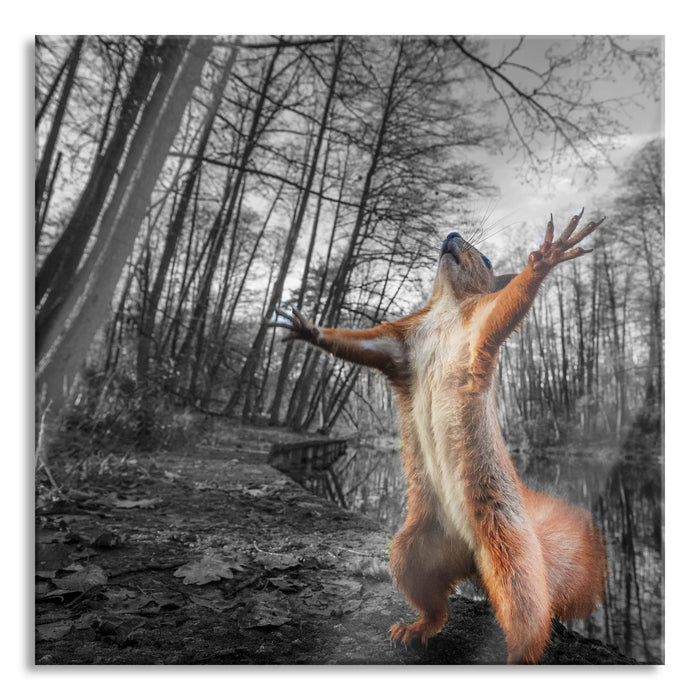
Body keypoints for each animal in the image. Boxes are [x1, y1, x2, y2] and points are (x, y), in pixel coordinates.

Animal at [271, 209, 608, 664]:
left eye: (485, 259)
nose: (451, 235)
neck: (447, 307)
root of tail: (472, 560)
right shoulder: (399, 345)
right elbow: (358, 345)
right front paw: (309, 329)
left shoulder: (482, 325)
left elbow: (510, 305)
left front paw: (545, 257)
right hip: (414, 551)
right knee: (435, 605)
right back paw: (416, 628)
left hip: (511, 554)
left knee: (526, 617)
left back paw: (516, 654)